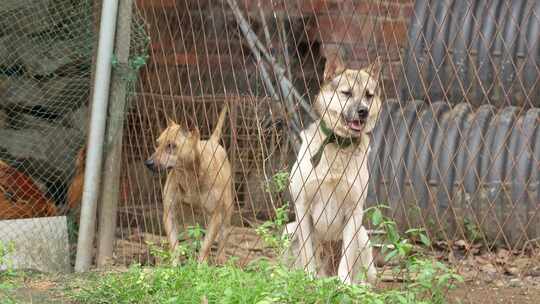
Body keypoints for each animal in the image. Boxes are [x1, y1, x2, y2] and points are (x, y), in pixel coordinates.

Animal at [144, 107, 233, 264]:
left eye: (171, 145)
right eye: (158, 143)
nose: (148, 163)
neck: (188, 176)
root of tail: (212, 141)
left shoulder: (215, 216)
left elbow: (206, 246)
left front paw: (200, 266)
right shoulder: (170, 214)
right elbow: (174, 245)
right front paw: (175, 266)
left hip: (227, 210)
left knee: (224, 235)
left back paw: (221, 258)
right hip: (190, 218)